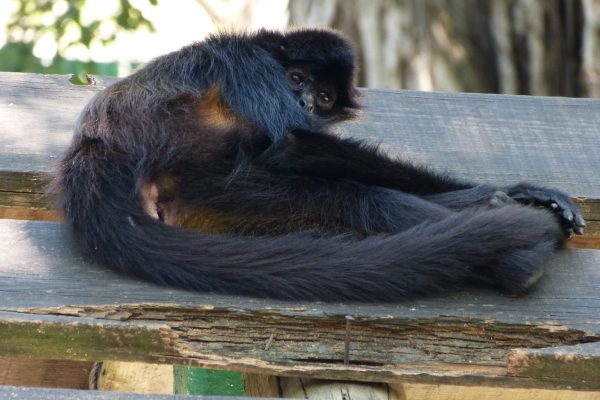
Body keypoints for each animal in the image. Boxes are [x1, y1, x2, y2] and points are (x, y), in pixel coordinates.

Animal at [52, 28, 584, 302]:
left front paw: (521, 191)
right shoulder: (246, 62)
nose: (306, 101)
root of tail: (96, 147)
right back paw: (518, 256)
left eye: (325, 96)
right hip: (208, 173)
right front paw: (496, 195)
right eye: (295, 79)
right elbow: (293, 142)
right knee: (359, 198)